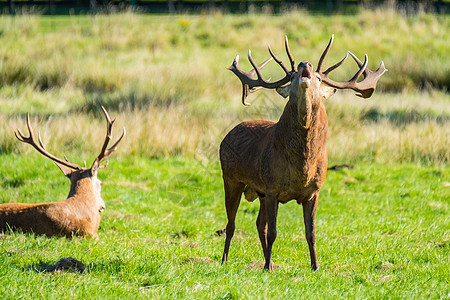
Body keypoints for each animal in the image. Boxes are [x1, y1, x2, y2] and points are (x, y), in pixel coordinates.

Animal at [220, 34, 384, 270]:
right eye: (293, 75)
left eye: (319, 78)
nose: (304, 64)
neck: (302, 168)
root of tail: (228, 135)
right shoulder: (272, 188)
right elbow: (273, 232)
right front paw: (267, 268)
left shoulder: (313, 191)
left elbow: (311, 232)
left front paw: (315, 266)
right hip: (231, 179)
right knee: (232, 224)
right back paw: (225, 260)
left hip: (259, 192)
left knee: (259, 223)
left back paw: (267, 260)